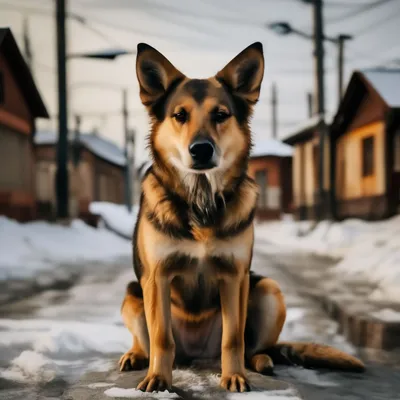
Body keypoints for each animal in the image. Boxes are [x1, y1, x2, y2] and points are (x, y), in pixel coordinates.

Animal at [117, 42, 364, 392]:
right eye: (180, 116)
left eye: (220, 115)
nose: (201, 149)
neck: (202, 201)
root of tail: (196, 357)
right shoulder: (157, 277)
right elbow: (162, 337)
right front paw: (158, 379)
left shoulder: (235, 277)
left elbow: (233, 338)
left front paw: (234, 377)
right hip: (132, 294)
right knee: (150, 341)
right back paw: (137, 355)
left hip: (268, 290)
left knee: (254, 347)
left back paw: (260, 361)